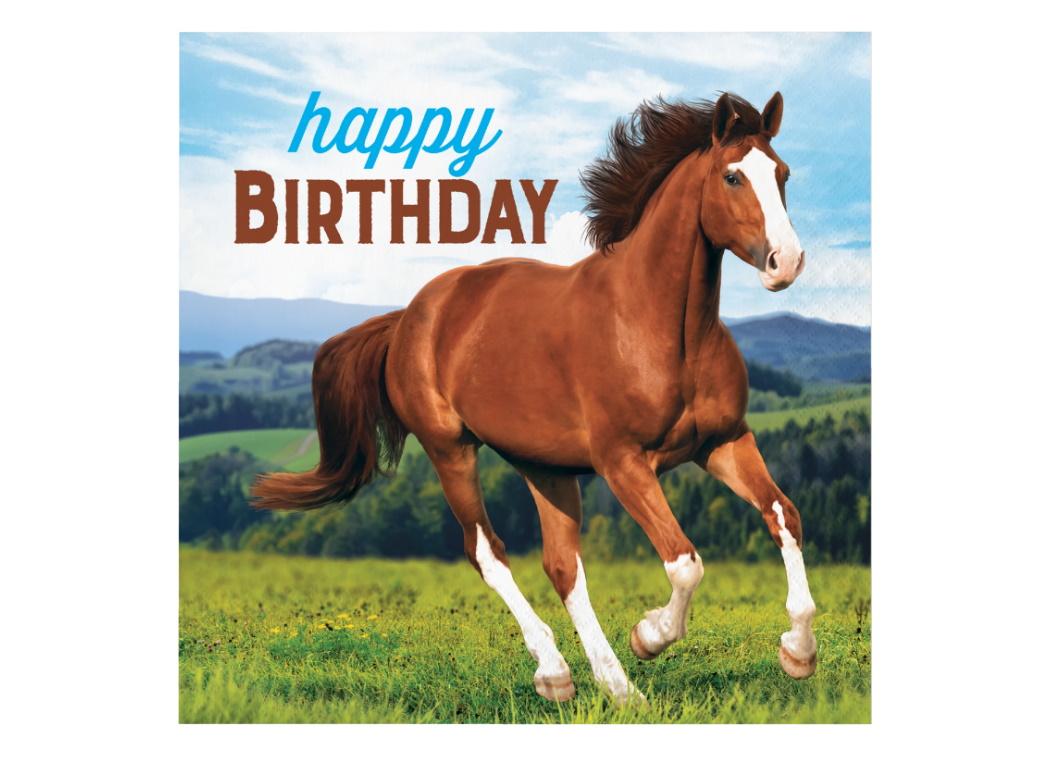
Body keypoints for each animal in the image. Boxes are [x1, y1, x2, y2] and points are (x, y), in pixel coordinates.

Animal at [252, 91, 817, 704]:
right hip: (450, 450)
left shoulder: (723, 442)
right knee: (488, 552)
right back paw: (557, 672)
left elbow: (784, 515)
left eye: (783, 173)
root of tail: (409, 319)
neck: (657, 325)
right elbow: (684, 562)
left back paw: (615, 687)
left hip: (545, 466)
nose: (785, 262)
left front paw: (798, 652)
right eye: (733, 176)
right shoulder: (623, 462)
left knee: (562, 566)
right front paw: (648, 635)